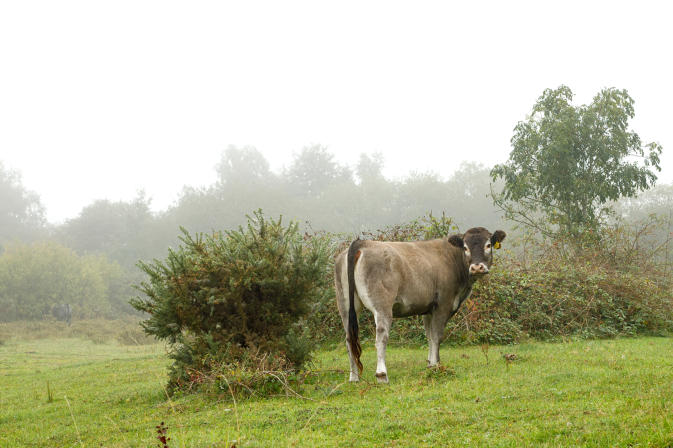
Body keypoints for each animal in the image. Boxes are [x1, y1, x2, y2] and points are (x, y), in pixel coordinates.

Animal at [334, 226, 506, 384]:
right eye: (465, 247)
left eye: (488, 245)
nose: (477, 267)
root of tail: (363, 243)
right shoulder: (443, 304)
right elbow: (436, 336)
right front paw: (436, 366)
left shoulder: (428, 309)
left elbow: (429, 336)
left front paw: (430, 365)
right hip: (382, 304)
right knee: (381, 336)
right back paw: (382, 375)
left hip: (345, 304)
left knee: (349, 338)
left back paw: (354, 377)